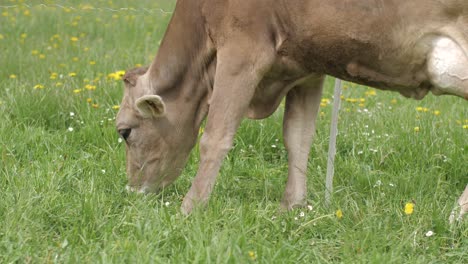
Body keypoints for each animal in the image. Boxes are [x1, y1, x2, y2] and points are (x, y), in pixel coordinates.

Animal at [114, 0, 468, 219]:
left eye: (125, 132)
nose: (131, 191)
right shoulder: (308, 66)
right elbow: (298, 138)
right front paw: (293, 207)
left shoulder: (241, 49)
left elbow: (215, 138)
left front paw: (190, 209)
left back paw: (455, 218)